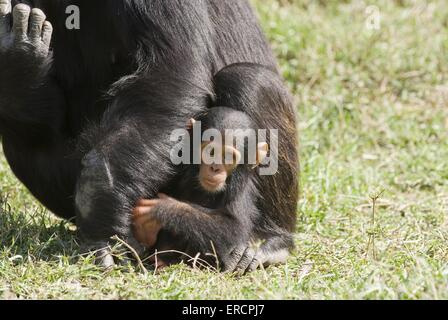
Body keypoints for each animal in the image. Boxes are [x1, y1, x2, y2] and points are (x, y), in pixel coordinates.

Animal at [131, 107, 268, 270]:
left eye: (228, 157)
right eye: (211, 152)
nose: (215, 167)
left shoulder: (241, 191)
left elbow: (234, 226)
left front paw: (163, 208)